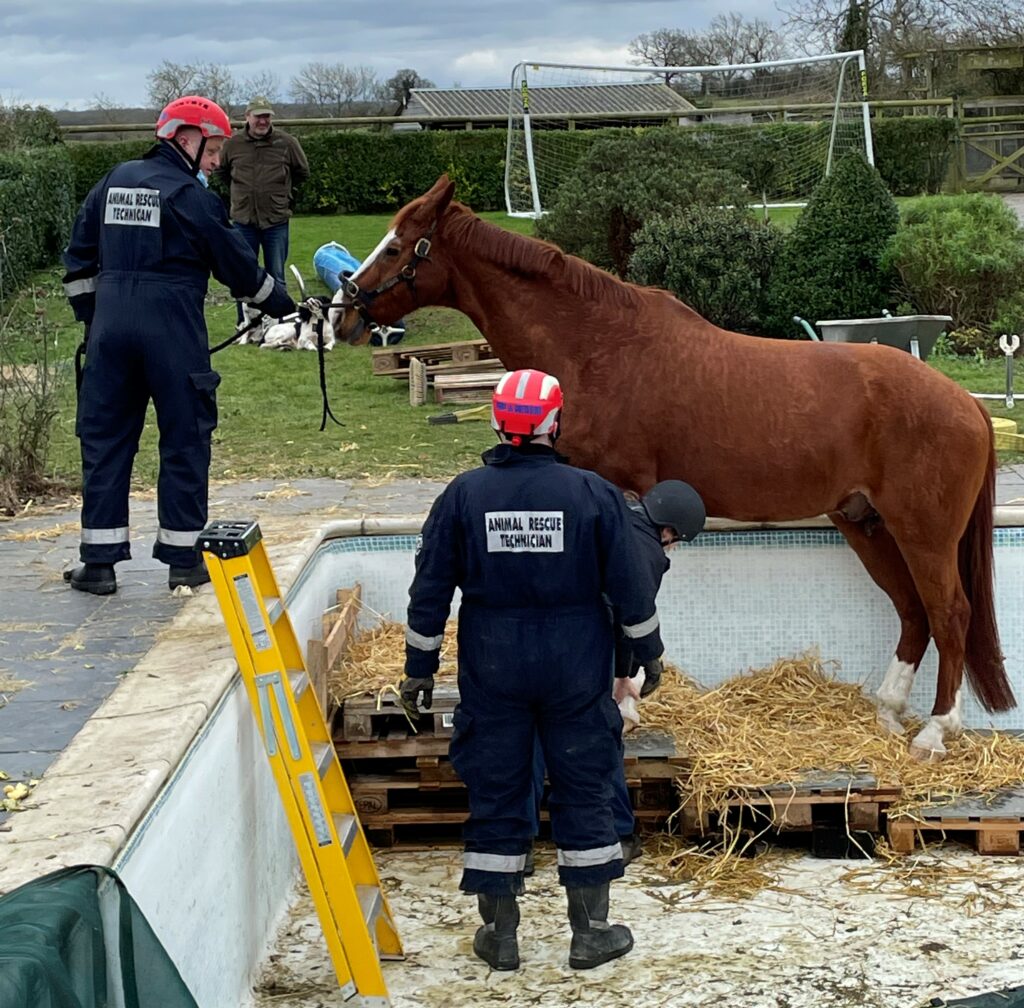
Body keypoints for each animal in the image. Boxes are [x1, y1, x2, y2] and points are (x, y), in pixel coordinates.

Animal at [329, 175, 1015, 753]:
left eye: (396, 248)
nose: (342, 314)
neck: (598, 347)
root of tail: (964, 403)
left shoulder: (620, 497)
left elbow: (623, 601)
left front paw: (625, 703)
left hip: (922, 533)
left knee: (950, 613)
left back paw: (935, 731)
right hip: (865, 523)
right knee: (913, 611)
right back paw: (890, 710)